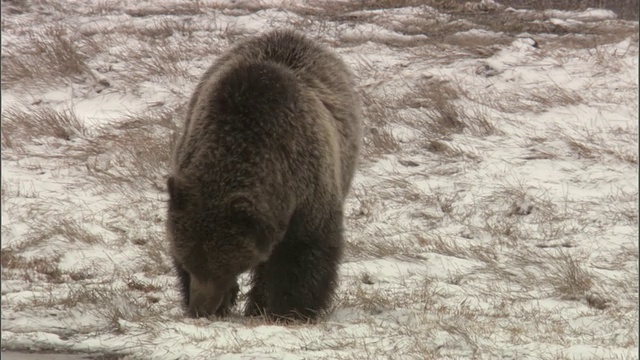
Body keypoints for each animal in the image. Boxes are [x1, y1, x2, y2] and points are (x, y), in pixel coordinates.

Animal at [165, 30, 362, 320]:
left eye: (221, 265)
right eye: (190, 260)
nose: (200, 308)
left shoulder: (307, 190)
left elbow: (304, 252)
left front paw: (291, 309)